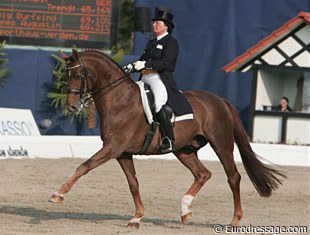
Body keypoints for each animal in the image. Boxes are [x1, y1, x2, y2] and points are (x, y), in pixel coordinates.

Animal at [49, 49, 286, 228]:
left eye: (78, 76)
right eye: (66, 76)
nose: (72, 107)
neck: (119, 100)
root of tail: (220, 100)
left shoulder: (113, 147)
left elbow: (84, 166)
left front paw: (58, 194)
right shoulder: (122, 152)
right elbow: (133, 183)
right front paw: (137, 217)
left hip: (221, 144)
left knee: (233, 177)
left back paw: (234, 220)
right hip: (184, 150)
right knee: (203, 174)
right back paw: (185, 211)